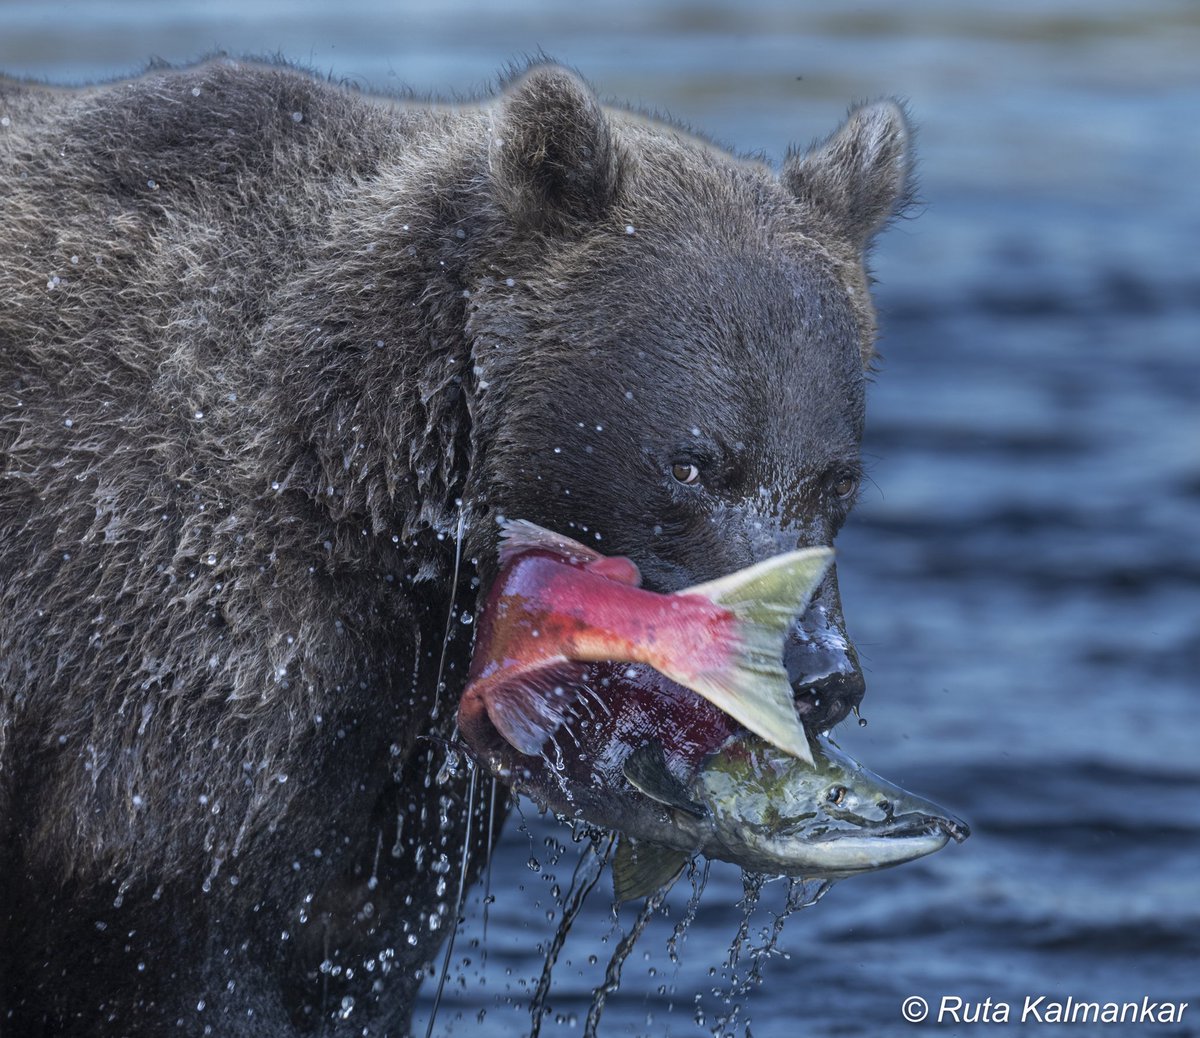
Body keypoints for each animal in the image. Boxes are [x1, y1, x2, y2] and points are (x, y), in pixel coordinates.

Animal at [0, 58, 907, 1036]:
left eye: (836, 480)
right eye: (694, 463)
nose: (815, 673)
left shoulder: (398, 751)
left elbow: (352, 942)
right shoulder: (161, 620)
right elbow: (172, 930)